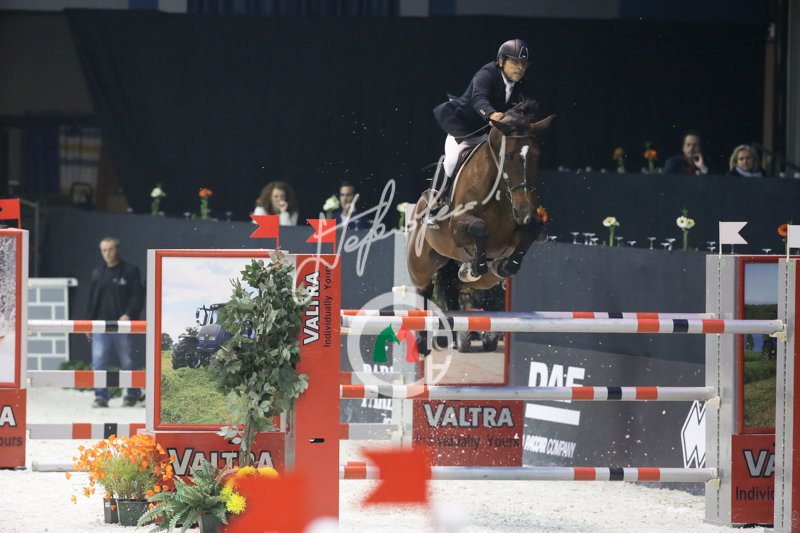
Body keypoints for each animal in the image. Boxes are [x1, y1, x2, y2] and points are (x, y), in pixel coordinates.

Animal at [407, 99, 554, 312]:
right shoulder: (457, 227)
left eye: (537, 156)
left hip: (474, 280)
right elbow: (479, 227)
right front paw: (474, 267)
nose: (524, 212)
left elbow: (533, 230)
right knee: (424, 289)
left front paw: (506, 265)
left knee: (452, 287)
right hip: (420, 266)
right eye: (507, 156)